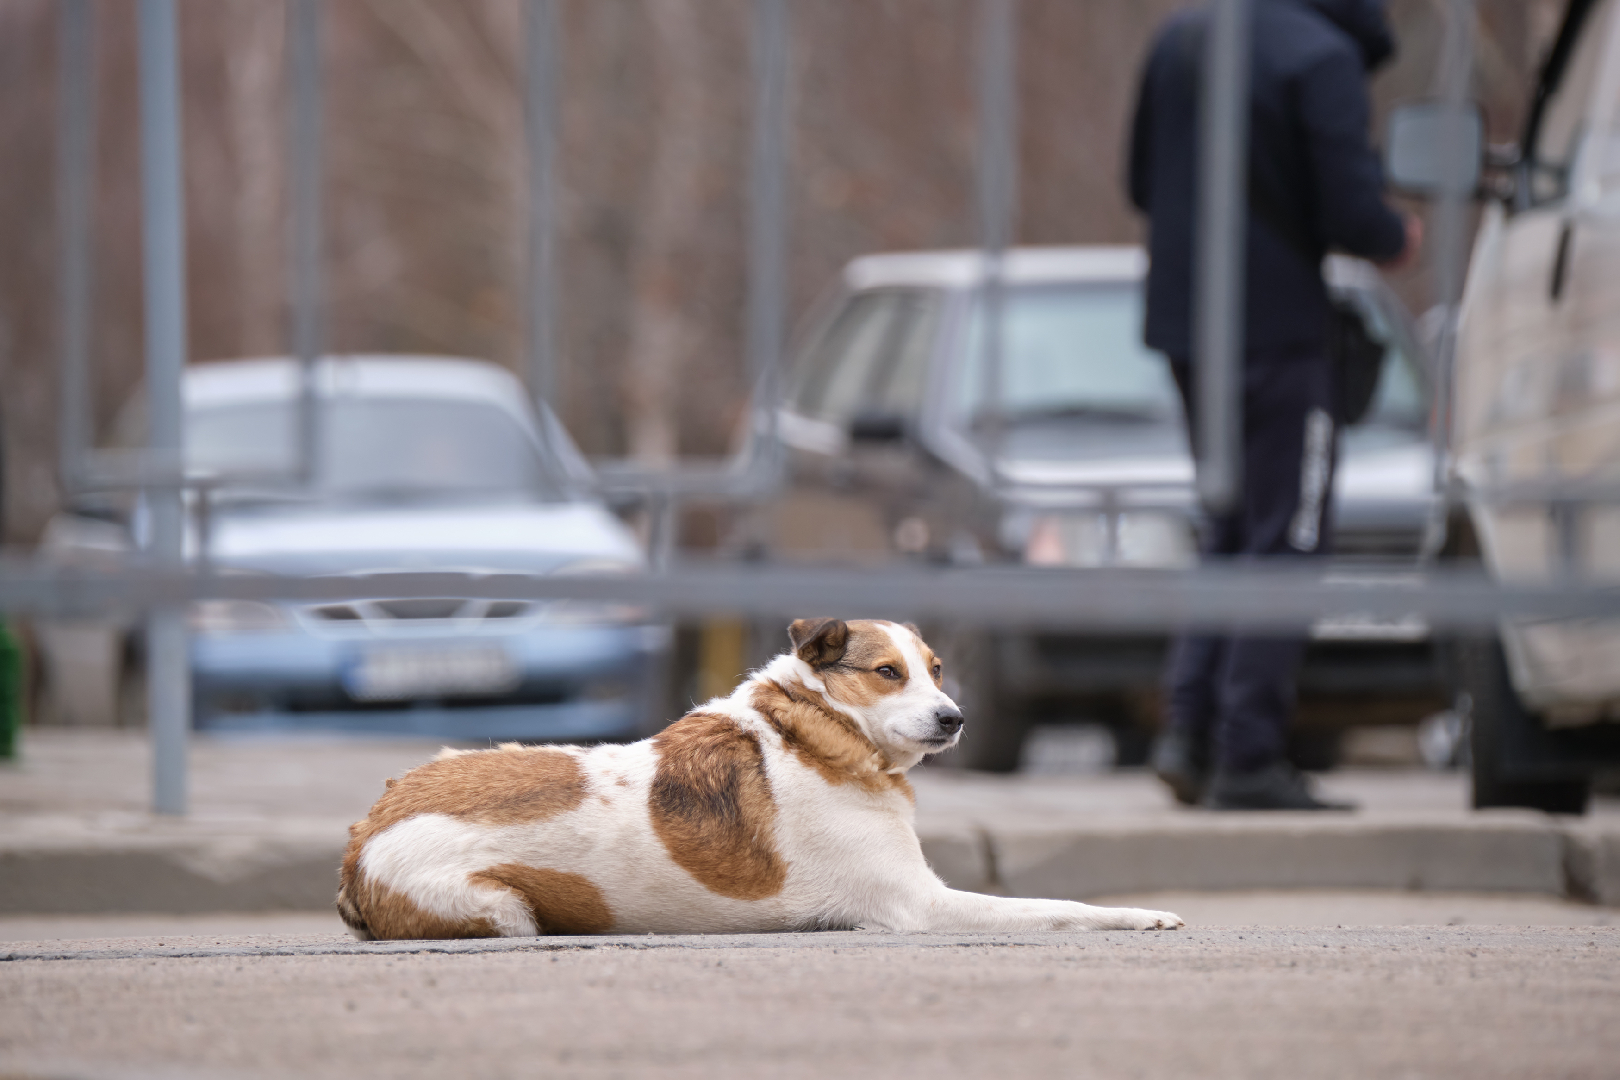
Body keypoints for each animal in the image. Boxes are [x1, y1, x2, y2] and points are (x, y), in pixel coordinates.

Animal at [335, 615, 1185, 939]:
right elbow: (1059, 907)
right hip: (501, 911)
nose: (955, 718)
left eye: (937, 669)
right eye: (888, 672)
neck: (814, 732)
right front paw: (1144, 915)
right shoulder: (920, 905)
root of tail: (360, 838)